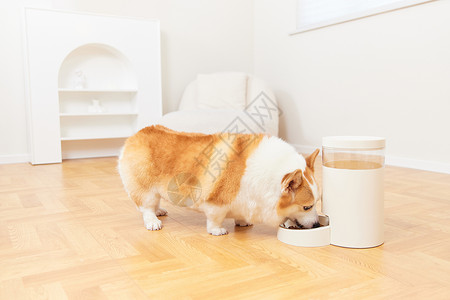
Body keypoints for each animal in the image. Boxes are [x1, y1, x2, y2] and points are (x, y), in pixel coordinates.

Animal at [117, 125, 320, 236]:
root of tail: (136, 135)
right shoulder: (217, 203)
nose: (318, 225)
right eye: (307, 207)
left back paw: (159, 211)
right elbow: (215, 218)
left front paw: (242, 221)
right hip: (145, 189)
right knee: (146, 207)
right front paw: (217, 231)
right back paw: (153, 221)